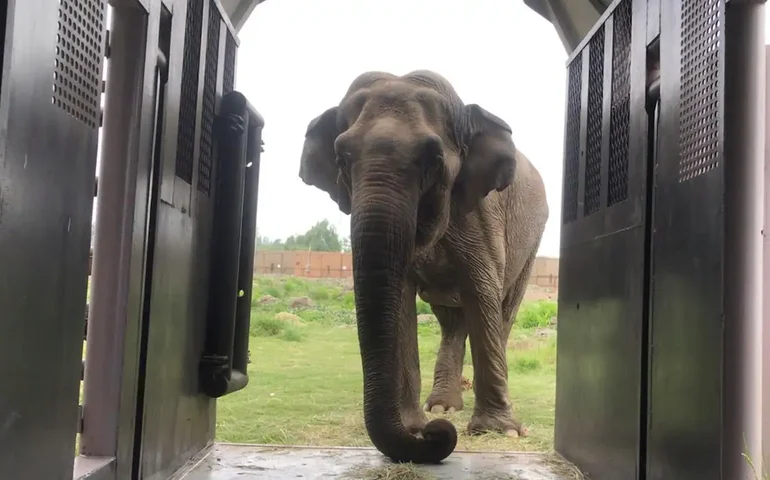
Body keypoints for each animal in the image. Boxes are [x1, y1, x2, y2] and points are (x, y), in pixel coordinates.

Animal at [298, 70, 549, 464]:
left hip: (532, 241)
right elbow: (400, 302)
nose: (433, 435)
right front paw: (414, 424)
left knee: (503, 311)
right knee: (452, 323)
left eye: (433, 159)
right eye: (341, 158)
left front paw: (500, 432)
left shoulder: (481, 215)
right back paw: (443, 409)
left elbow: (483, 294)